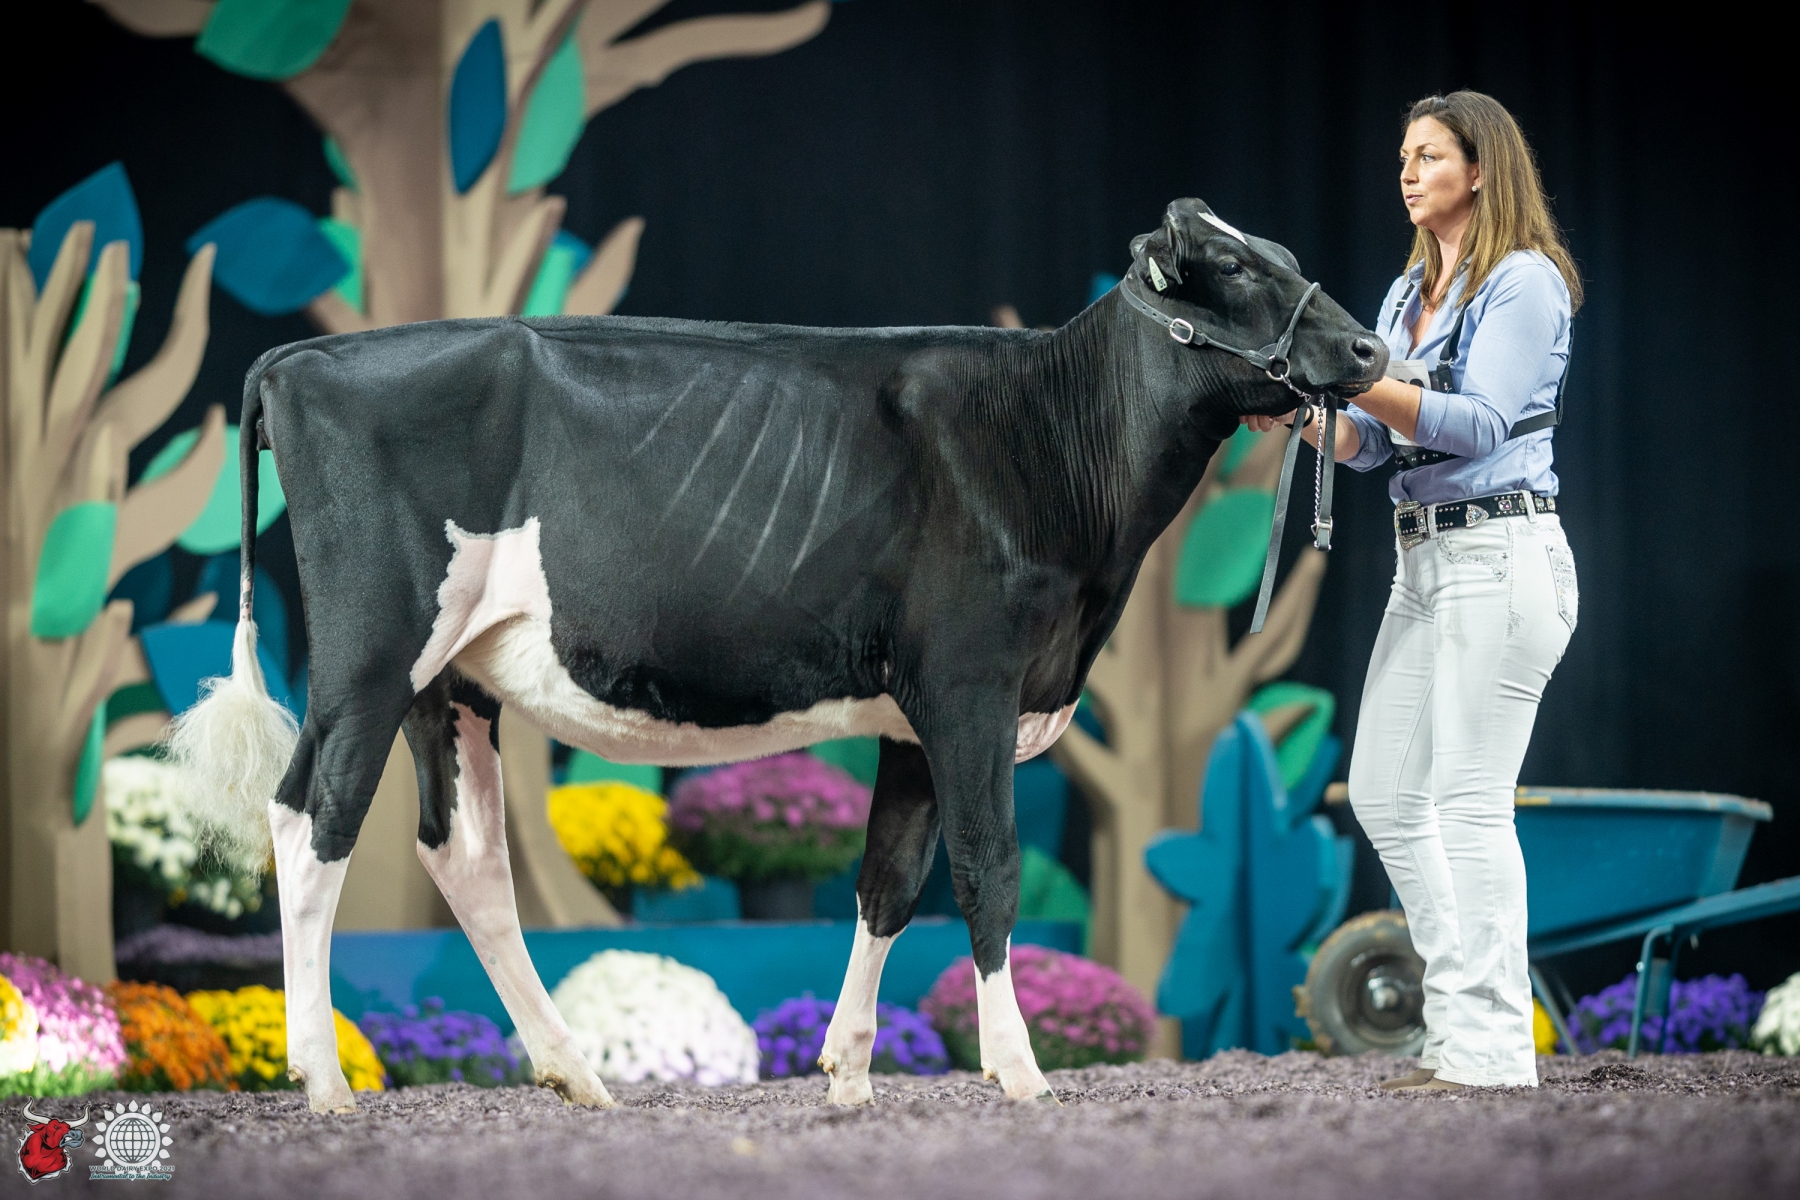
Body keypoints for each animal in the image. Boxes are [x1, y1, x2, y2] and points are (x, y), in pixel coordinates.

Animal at [171, 198, 1384, 1113]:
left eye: (1287, 256)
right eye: (1232, 264)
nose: (1373, 348)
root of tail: (303, 356)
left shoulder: (912, 720)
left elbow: (886, 881)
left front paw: (845, 1074)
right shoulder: (973, 685)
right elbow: (986, 869)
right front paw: (1020, 1071)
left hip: (453, 681)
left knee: (465, 856)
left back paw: (572, 1072)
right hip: (372, 655)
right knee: (310, 819)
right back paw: (326, 1080)